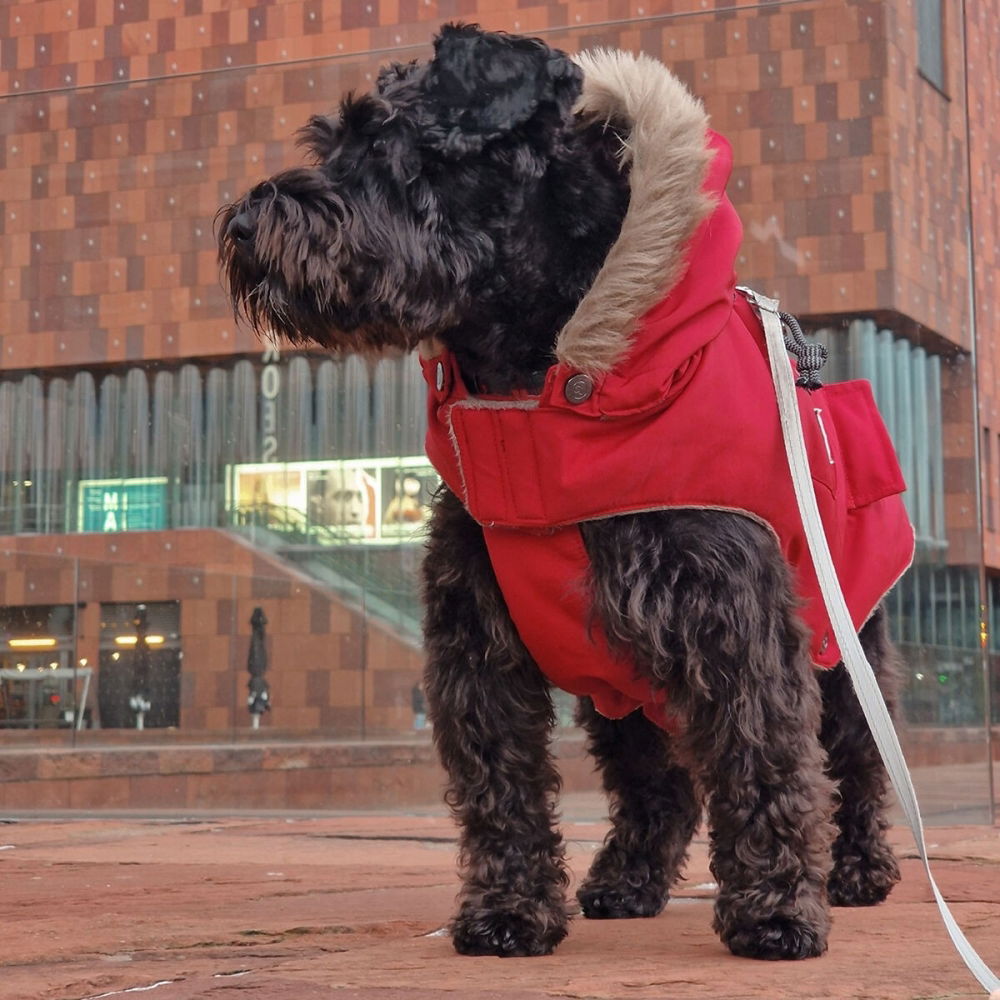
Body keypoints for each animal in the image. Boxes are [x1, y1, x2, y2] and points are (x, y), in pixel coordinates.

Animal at [219, 23, 908, 960]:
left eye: (392, 146)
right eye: (331, 144)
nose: (245, 224)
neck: (532, 387)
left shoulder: (735, 621)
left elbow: (763, 755)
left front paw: (775, 911)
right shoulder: (477, 642)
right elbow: (500, 786)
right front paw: (507, 911)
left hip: (846, 644)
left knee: (859, 760)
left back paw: (860, 870)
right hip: (617, 686)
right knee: (658, 787)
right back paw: (626, 881)